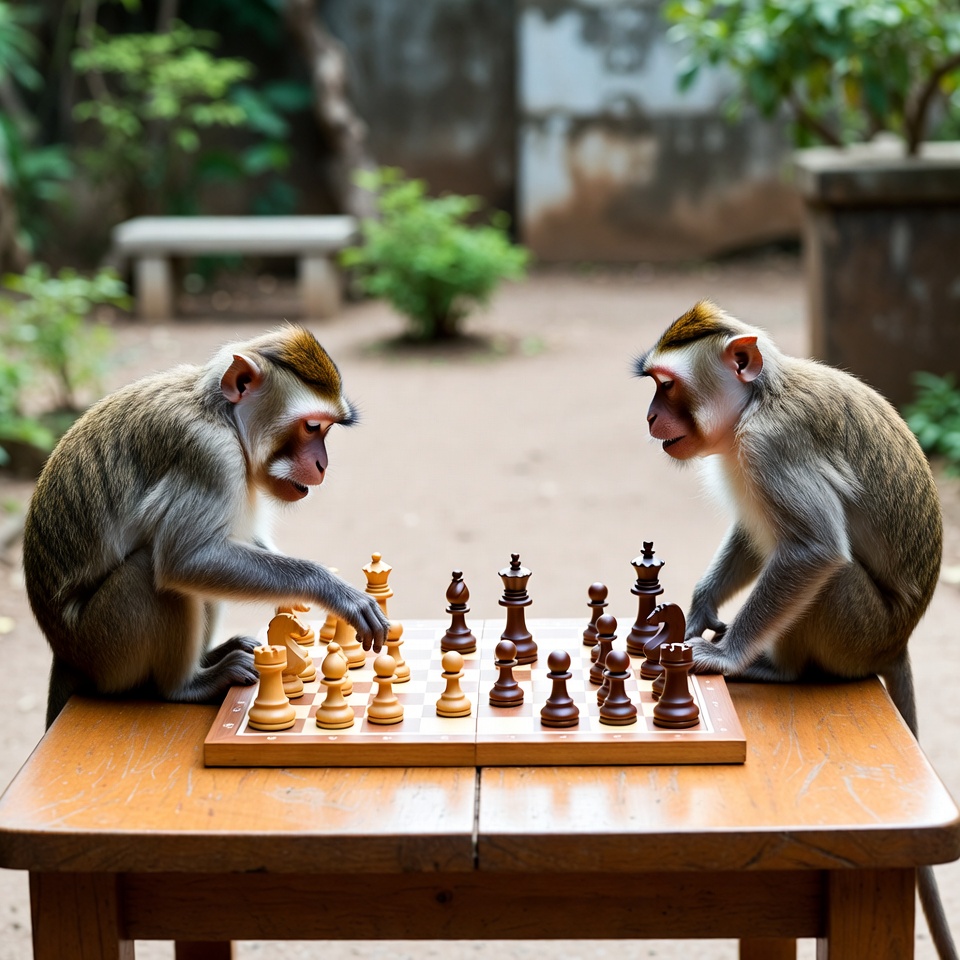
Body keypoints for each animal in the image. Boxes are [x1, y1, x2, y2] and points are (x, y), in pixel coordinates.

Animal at [23, 325, 390, 729]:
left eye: (326, 430)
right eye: (311, 427)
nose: (322, 464)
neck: (221, 415)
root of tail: (64, 653)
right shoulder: (209, 455)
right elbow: (187, 559)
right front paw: (332, 590)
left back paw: (215, 655)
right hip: (103, 647)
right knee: (151, 570)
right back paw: (185, 686)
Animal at [636, 300, 955, 960]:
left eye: (666, 386)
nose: (648, 415)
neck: (757, 401)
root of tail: (900, 640)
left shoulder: (769, 446)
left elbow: (810, 549)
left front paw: (725, 657)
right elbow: (758, 537)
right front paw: (699, 608)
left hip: (858, 629)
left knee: (829, 574)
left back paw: (774, 669)